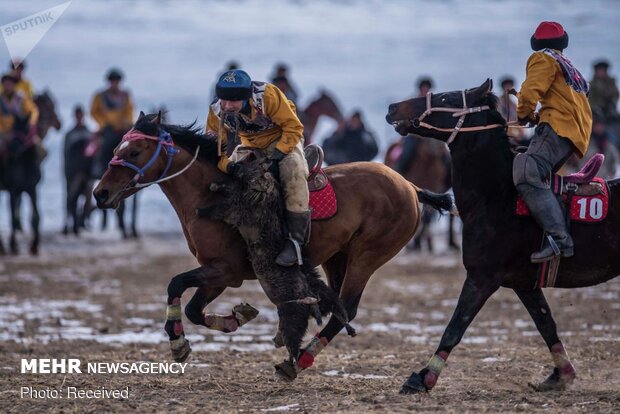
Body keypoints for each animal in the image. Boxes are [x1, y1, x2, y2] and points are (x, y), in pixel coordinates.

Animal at [92, 111, 450, 380]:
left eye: (134, 152)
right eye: (119, 148)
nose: (100, 193)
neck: (209, 191)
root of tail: (410, 187)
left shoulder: (225, 271)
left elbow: (176, 284)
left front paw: (178, 342)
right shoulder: (218, 275)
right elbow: (194, 308)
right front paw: (236, 317)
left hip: (366, 258)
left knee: (346, 308)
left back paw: (299, 361)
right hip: (337, 258)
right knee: (335, 304)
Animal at [388, 80, 620, 394]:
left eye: (446, 98)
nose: (392, 107)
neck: (497, 197)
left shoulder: (482, 278)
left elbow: (455, 326)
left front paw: (423, 377)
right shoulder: (525, 285)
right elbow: (546, 323)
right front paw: (561, 374)